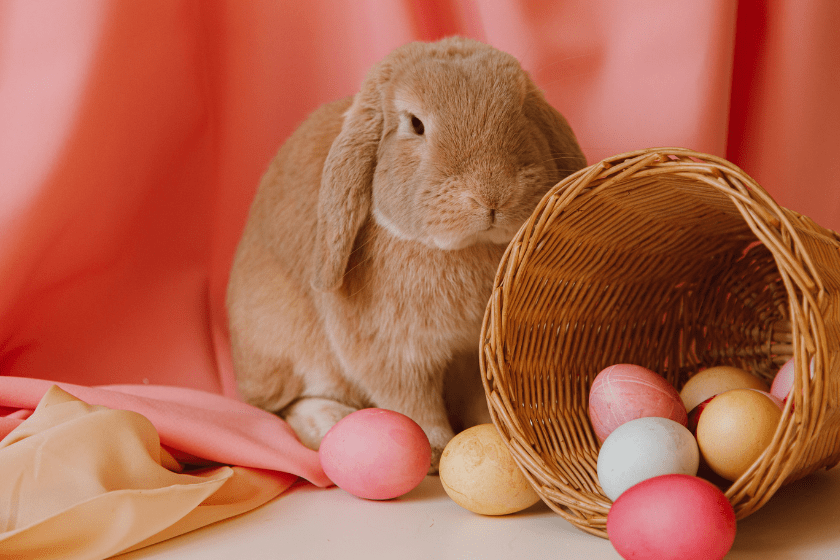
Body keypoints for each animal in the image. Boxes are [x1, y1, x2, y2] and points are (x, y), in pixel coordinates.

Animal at [226, 37, 588, 470]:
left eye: (520, 109)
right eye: (415, 124)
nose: (491, 195)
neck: (463, 247)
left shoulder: (474, 355)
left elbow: (480, 399)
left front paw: (494, 433)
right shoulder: (396, 352)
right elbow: (412, 403)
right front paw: (433, 450)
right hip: (289, 349)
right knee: (287, 406)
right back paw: (329, 421)